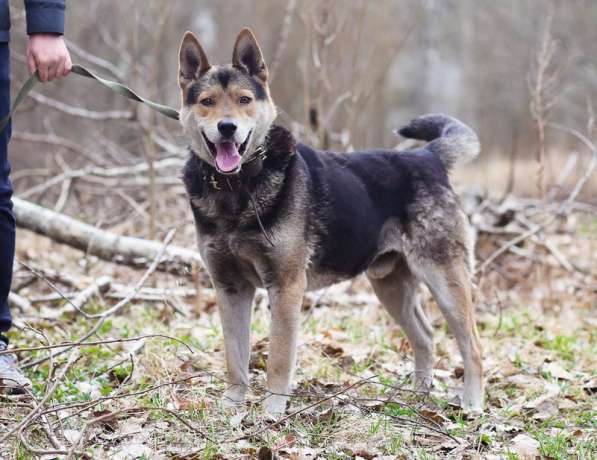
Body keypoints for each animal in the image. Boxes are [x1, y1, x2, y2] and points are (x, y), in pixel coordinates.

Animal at [178, 28, 484, 416]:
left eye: (244, 99)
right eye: (207, 102)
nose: (227, 128)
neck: (238, 187)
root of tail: (429, 157)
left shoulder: (286, 287)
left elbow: (279, 357)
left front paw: (272, 412)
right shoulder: (230, 287)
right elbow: (235, 356)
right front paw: (232, 406)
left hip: (444, 279)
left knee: (472, 343)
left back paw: (472, 403)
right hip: (391, 286)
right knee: (426, 337)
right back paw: (418, 398)